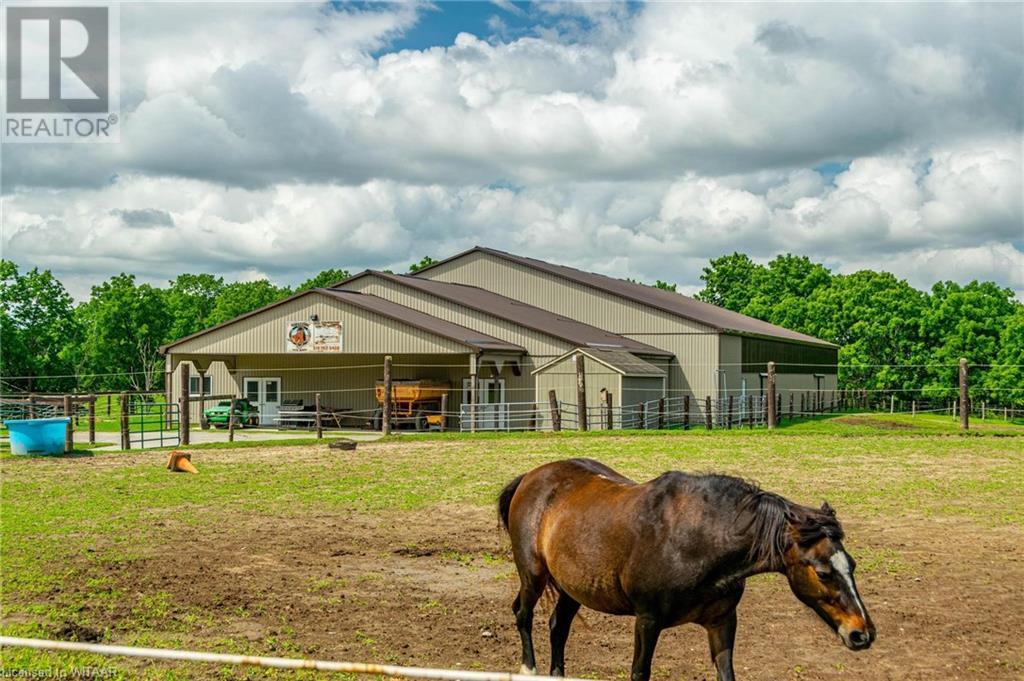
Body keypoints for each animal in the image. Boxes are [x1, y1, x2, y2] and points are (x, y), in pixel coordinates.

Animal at [499, 458, 876, 675]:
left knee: (558, 627)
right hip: (533, 576)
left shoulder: (722, 622)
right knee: (523, 613)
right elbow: (639, 671)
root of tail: (531, 477)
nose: (863, 633)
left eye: (853, 565)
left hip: (573, 588)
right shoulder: (647, 621)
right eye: (823, 572)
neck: (699, 541)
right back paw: (528, 668)